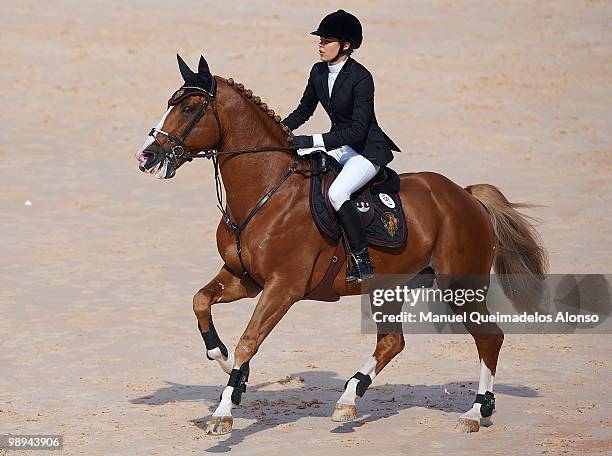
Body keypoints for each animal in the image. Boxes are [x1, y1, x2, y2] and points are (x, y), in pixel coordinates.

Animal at [134, 56, 544, 434]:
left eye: (188, 108)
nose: (146, 156)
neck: (266, 190)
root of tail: (467, 195)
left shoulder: (283, 288)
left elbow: (248, 341)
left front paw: (223, 411)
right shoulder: (242, 277)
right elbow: (200, 302)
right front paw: (223, 362)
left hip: (460, 287)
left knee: (489, 338)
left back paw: (475, 412)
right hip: (389, 287)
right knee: (392, 342)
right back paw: (348, 400)